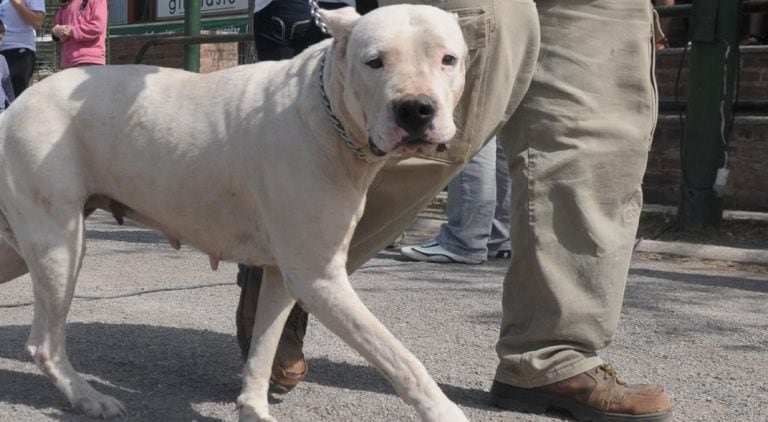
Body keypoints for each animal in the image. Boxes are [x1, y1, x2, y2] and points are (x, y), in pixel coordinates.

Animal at [0, 4, 468, 422]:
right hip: (59, 246)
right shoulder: (320, 279)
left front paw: (254, 408)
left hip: (24, 251)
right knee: (45, 344)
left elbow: (263, 349)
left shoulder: (285, 276)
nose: (416, 109)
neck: (325, 111)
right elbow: (401, 359)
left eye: (449, 59)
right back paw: (89, 398)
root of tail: (15, 106)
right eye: (374, 62)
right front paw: (444, 411)